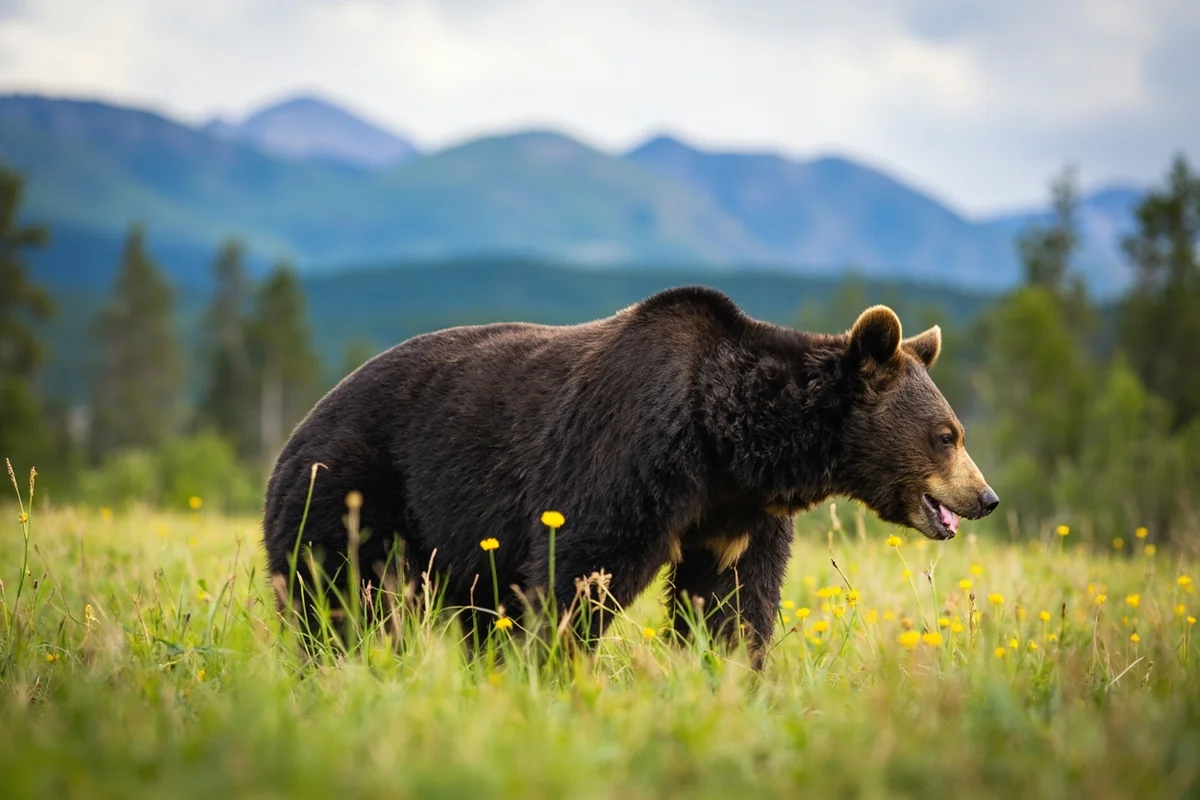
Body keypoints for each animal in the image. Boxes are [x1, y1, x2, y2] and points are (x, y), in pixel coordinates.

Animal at [261, 285, 998, 668]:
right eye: (947, 435)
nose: (984, 497)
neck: (723, 439)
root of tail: (294, 434)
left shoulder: (735, 514)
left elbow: (734, 599)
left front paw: (726, 668)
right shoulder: (630, 456)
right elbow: (578, 575)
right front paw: (552, 667)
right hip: (352, 492)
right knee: (341, 598)